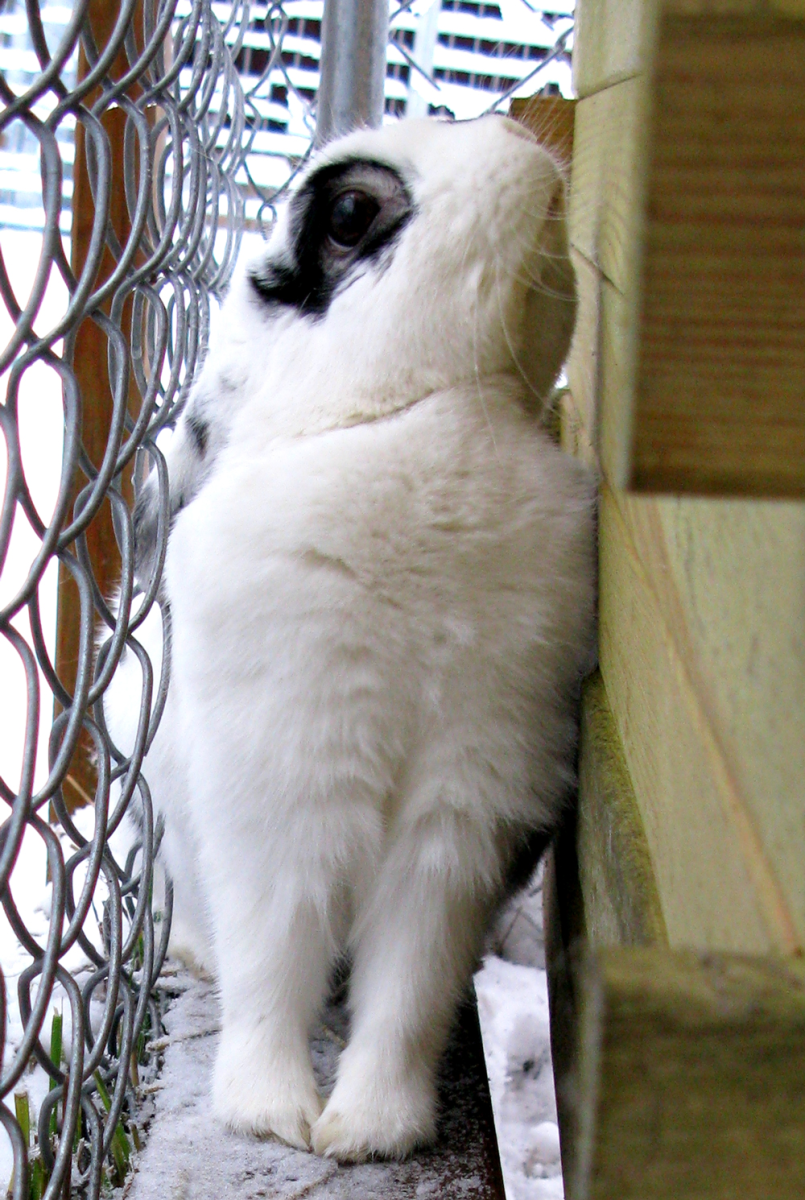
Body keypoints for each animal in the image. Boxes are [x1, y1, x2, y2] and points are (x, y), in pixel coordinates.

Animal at [105, 113, 596, 1163]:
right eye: (346, 214)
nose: (514, 133)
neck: (409, 419)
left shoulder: (457, 818)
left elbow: (408, 986)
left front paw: (370, 1133)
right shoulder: (279, 790)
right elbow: (272, 960)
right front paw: (271, 1117)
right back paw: (195, 957)